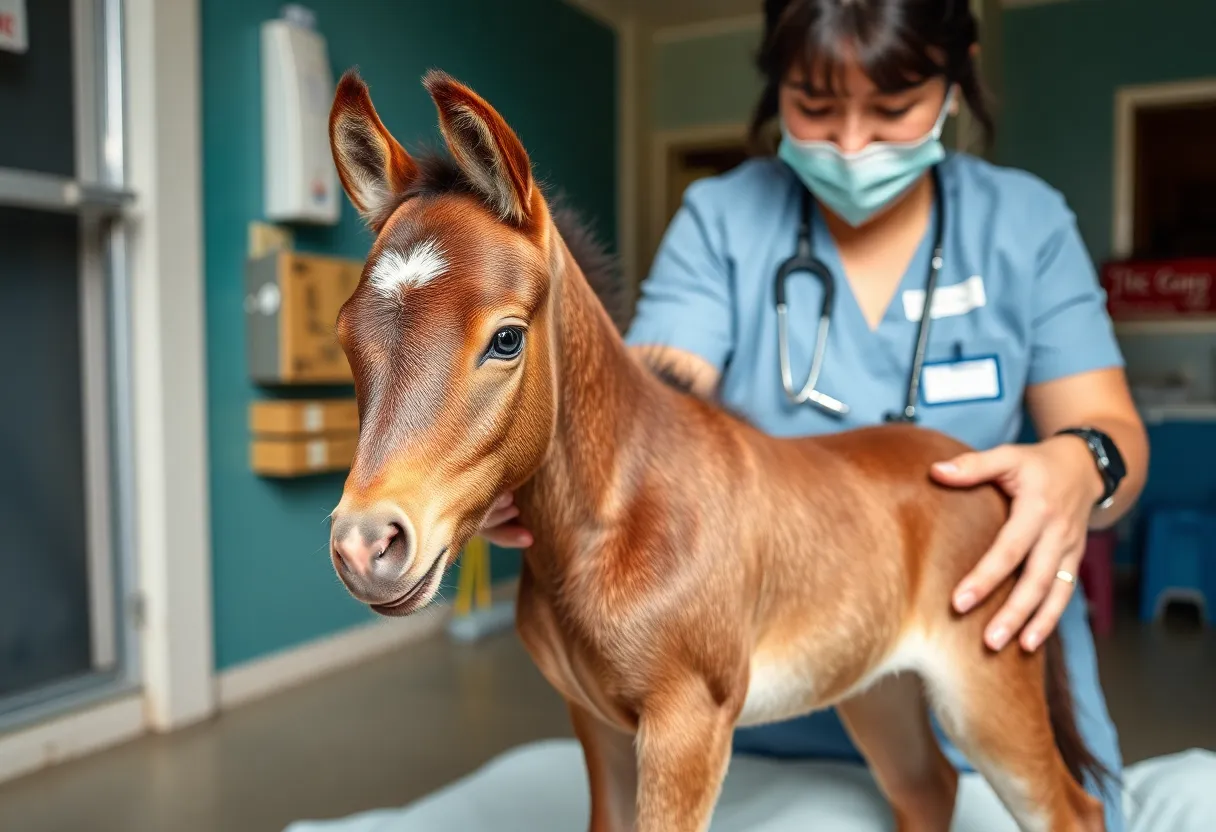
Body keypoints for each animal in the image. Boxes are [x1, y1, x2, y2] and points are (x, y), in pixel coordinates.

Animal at [323, 67, 1109, 832]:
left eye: (507, 338)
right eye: (344, 336)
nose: (367, 546)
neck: (617, 518)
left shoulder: (687, 729)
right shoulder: (597, 724)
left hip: (987, 689)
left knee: (1073, 810)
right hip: (875, 688)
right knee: (927, 789)